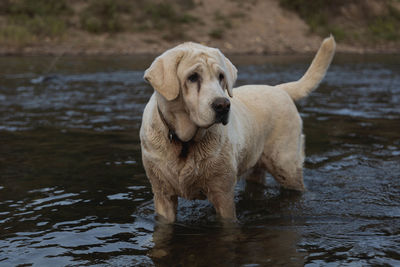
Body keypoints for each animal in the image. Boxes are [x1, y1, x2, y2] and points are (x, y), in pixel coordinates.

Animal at [140, 36, 334, 224]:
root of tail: (279, 89)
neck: (185, 143)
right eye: (193, 77)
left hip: (287, 166)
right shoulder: (162, 194)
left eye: (221, 76)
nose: (223, 105)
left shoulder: (223, 193)